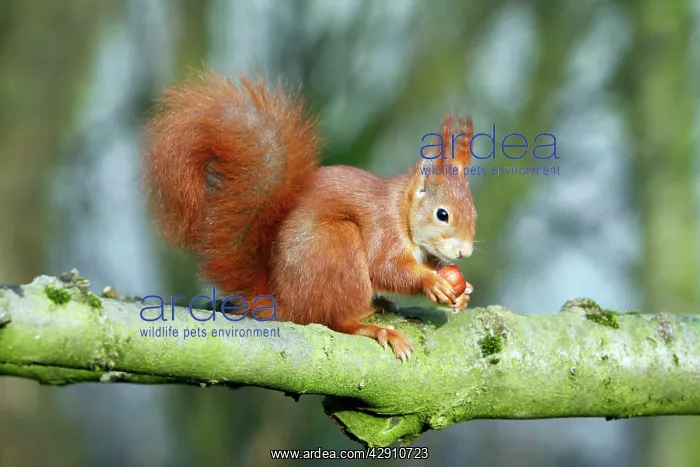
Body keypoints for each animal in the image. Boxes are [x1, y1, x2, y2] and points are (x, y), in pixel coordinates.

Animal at [143, 70, 477, 361]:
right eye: (442, 214)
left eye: (474, 213)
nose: (465, 252)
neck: (403, 211)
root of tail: (284, 305)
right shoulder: (384, 227)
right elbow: (386, 268)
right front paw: (431, 282)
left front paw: (463, 293)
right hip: (337, 247)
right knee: (338, 321)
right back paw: (375, 327)